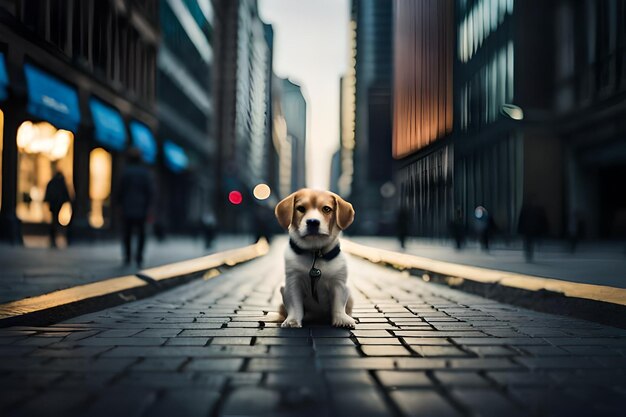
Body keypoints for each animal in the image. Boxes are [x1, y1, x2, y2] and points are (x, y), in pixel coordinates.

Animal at [274, 187, 356, 326]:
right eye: (301, 208)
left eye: (326, 209)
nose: (313, 222)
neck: (315, 253)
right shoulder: (292, 282)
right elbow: (295, 306)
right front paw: (292, 320)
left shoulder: (339, 283)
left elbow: (338, 305)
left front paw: (341, 319)